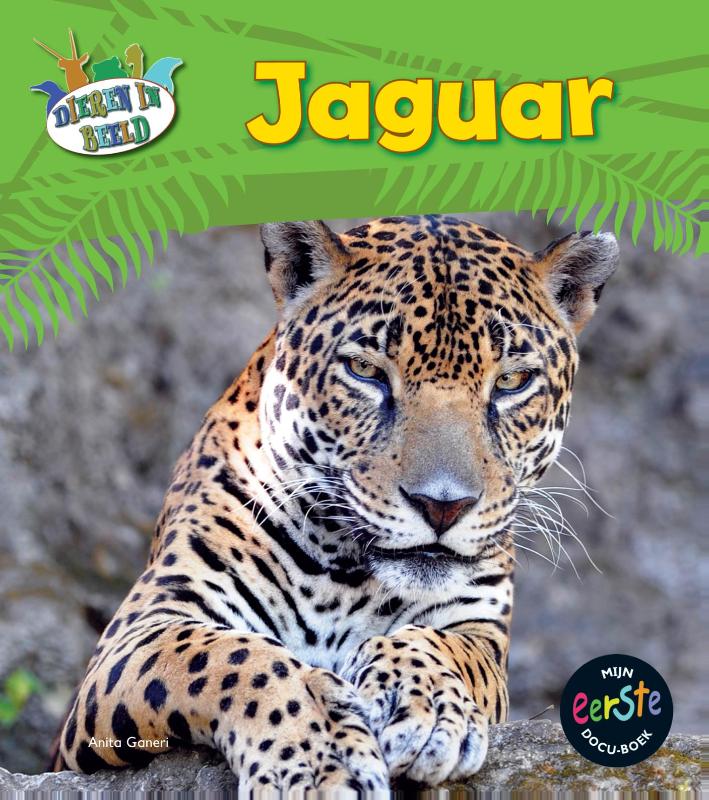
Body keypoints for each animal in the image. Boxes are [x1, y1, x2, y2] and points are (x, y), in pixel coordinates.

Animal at [54, 214, 618, 790]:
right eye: (365, 371)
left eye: (512, 381)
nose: (442, 505)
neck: (344, 575)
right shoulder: (143, 629)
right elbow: (232, 656)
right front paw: (318, 755)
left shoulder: (480, 628)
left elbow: (441, 645)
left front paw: (427, 708)